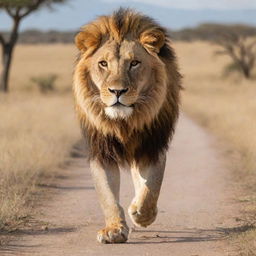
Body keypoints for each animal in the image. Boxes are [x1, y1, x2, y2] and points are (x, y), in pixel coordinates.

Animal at [73, 8, 182, 244]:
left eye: (134, 63)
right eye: (103, 64)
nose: (117, 91)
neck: (125, 122)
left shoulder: (152, 145)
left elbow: (152, 187)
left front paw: (142, 214)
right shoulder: (102, 151)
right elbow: (107, 195)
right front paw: (114, 229)